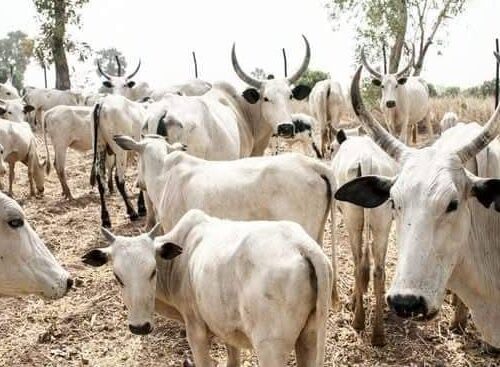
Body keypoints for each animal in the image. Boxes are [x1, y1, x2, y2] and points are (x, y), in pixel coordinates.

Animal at [82, 210, 334, 367]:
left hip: (271, 348)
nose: (139, 327)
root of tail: (302, 245)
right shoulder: (229, 329)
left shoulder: (196, 331)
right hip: (310, 337)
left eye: (152, 271)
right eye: (118, 277)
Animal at [330, 133, 396, 348]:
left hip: (353, 220)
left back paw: (358, 320)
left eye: (330, 148)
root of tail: (367, 160)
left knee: (358, 263)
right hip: (383, 223)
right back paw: (378, 334)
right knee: (378, 270)